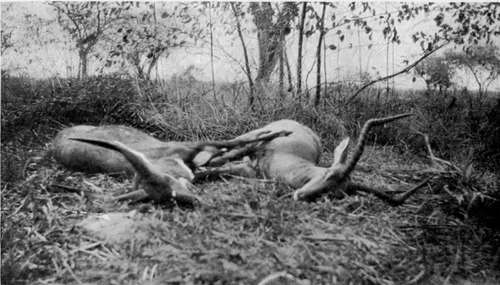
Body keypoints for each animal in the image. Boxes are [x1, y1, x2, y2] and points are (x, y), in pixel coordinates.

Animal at [201, 113, 428, 204]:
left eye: (336, 194)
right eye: (329, 174)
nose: (301, 195)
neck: (288, 155)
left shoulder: (251, 171)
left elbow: (218, 170)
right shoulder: (254, 151)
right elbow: (222, 159)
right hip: (254, 133)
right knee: (231, 144)